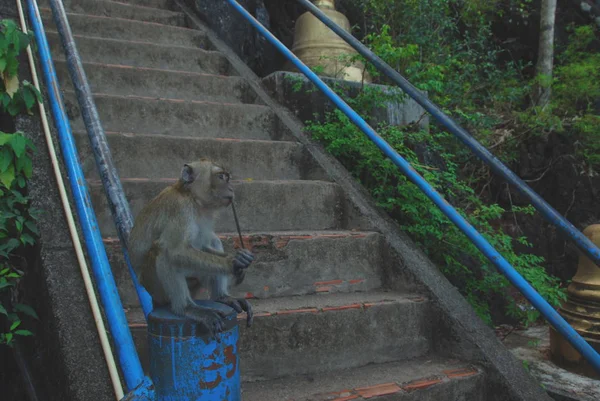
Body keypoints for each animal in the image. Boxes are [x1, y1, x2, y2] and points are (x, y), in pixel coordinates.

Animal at [128, 159, 253, 334]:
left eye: (226, 177)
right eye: (221, 177)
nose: (231, 188)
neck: (193, 199)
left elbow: (204, 245)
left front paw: (241, 258)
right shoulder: (180, 209)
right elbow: (175, 251)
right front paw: (232, 262)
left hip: (194, 281)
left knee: (213, 242)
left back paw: (221, 297)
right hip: (156, 288)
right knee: (164, 253)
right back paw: (186, 308)